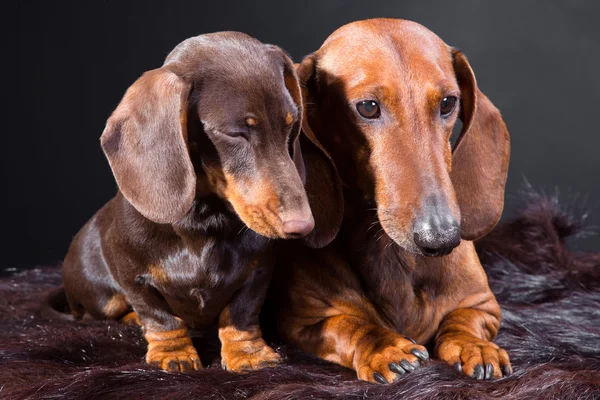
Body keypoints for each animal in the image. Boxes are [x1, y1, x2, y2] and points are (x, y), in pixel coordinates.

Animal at [62, 31, 342, 372]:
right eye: (235, 134)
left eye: (291, 125)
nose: (302, 226)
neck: (204, 222)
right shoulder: (132, 275)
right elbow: (158, 316)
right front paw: (173, 352)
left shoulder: (259, 272)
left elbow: (242, 312)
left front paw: (248, 353)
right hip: (101, 296)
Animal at [276, 19, 510, 384]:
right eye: (368, 107)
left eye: (448, 102)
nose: (441, 238)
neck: (394, 254)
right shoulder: (302, 323)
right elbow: (347, 324)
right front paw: (384, 346)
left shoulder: (483, 304)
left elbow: (462, 320)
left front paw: (475, 346)